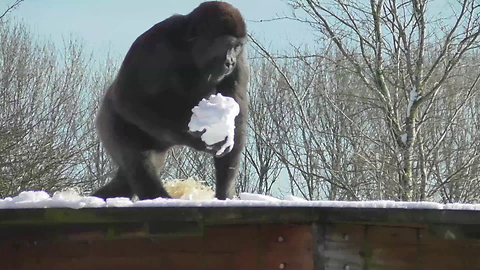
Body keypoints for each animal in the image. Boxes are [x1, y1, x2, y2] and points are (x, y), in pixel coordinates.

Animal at [92, 1, 249, 200]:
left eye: (237, 47)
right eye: (227, 45)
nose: (230, 62)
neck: (191, 46)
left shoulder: (241, 60)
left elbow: (238, 114)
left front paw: (225, 192)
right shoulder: (152, 42)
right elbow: (129, 97)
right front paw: (197, 139)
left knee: (125, 181)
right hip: (109, 120)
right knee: (138, 164)